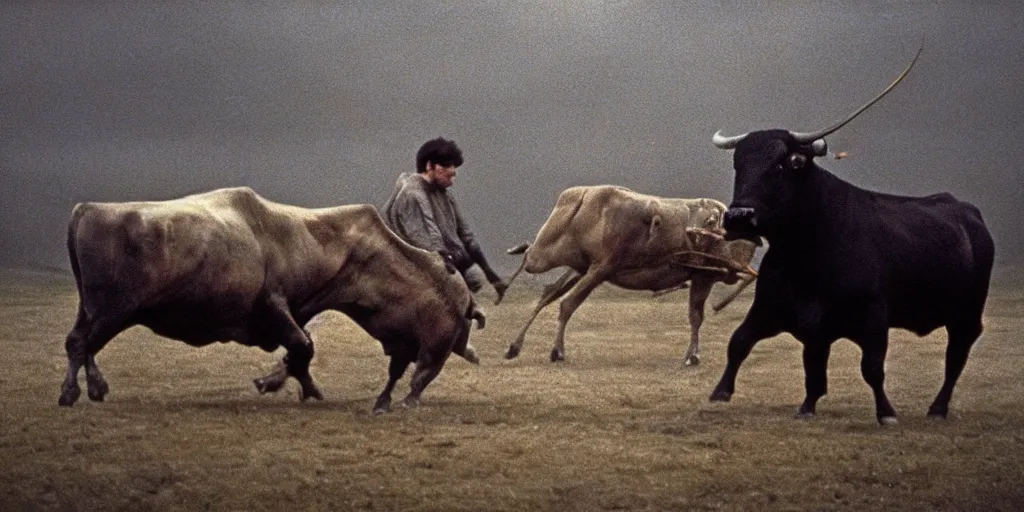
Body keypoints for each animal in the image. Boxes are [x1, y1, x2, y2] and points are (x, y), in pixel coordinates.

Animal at [58, 186, 483, 413]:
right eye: (454, 317)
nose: (417, 385)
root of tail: (86, 210)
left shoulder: (295, 310)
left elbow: (299, 351)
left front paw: (284, 381)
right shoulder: (274, 305)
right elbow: (302, 346)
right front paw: (301, 388)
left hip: (96, 310)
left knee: (84, 342)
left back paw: (95, 387)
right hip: (114, 309)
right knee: (80, 342)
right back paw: (71, 392)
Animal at [499, 184, 757, 364]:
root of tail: (577, 196)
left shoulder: (702, 276)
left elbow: (695, 316)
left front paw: (692, 355)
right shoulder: (704, 276)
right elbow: (696, 316)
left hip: (581, 268)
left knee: (548, 293)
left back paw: (514, 345)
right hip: (558, 260)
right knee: (545, 280)